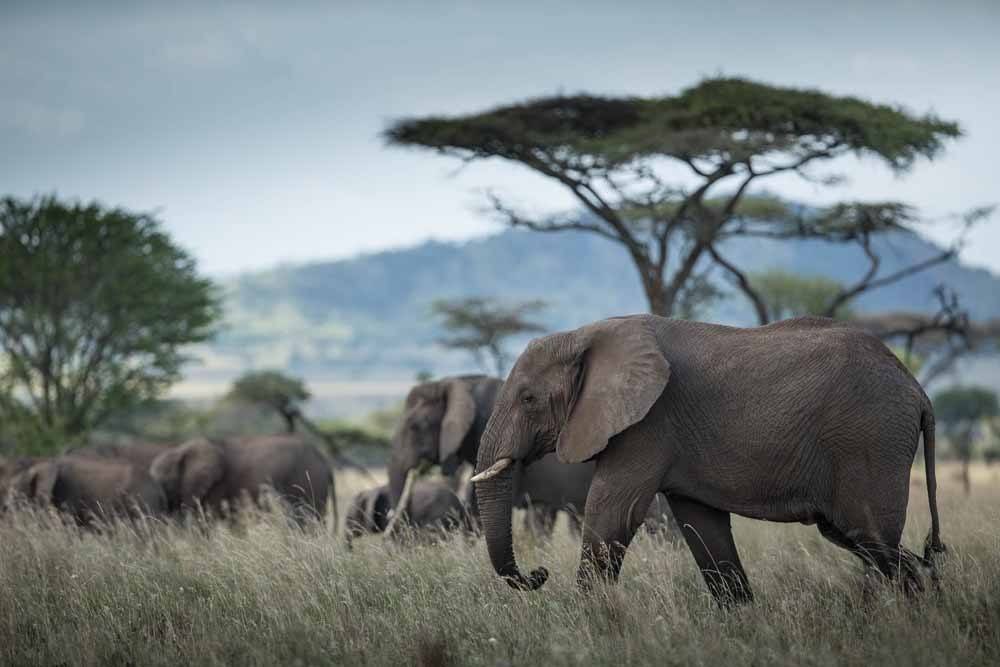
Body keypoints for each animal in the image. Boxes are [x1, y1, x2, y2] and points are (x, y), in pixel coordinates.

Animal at [149, 436, 332, 524]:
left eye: (166, 483)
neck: (180, 449)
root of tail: (323, 458)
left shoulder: (217, 485)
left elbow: (206, 520)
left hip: (310, 480)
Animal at [472, 316, 940, 604]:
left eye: (528, 399)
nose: (539, 573)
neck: (586, 334)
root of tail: (918, 391)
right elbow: (703, 527)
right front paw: (742, 619)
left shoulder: (648, 423)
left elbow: (612, 512)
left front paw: (592, 619)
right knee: (865, 543)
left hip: (870, 440)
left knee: (872, 536)